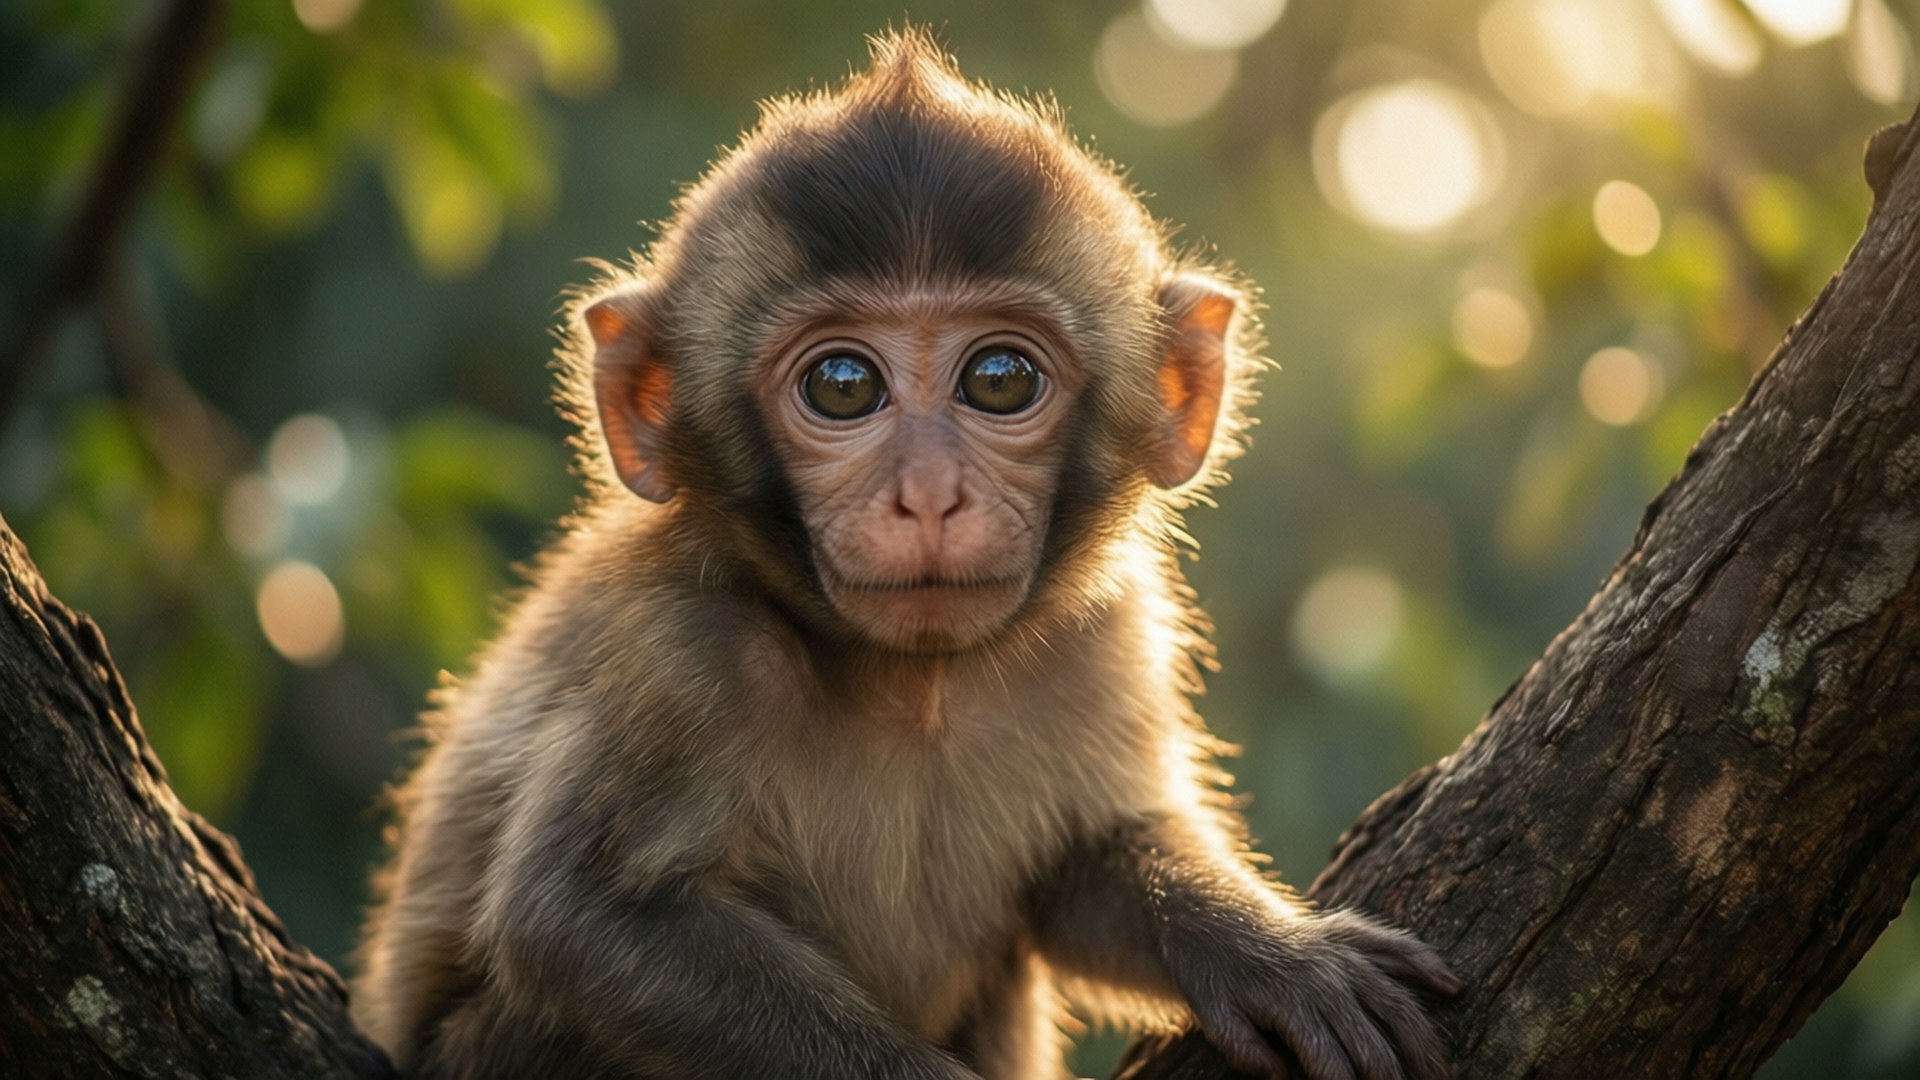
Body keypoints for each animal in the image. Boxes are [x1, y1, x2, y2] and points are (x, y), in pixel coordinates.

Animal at [352, 28, 1460, 1080]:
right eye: (842, 385)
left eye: (1001, 378)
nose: (928, 495)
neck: (909, 682)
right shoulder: (670, 650)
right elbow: (584, 919)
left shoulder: (1109, 635)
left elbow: (1089, 869)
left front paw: (1265, 949)